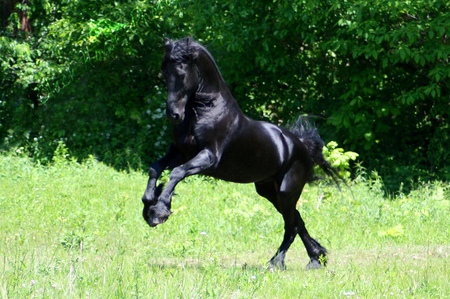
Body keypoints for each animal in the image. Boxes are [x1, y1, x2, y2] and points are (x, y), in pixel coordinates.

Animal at [142, 37, 340, 270]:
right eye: (164, 73)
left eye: (181, 73)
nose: (173, 115)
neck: (205, 111)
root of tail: (300, 145)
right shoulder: (180, 152)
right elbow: (155, 167)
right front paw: (148, 204)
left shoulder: (208, 157)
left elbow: (177, 172)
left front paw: (160, 211)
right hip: (269, 191)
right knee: (297, 220)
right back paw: (316, 258)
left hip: (286, 192)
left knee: (291, 225)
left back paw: (276, 262)